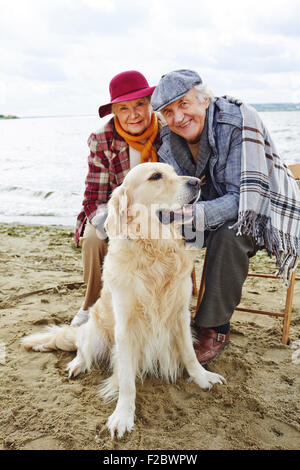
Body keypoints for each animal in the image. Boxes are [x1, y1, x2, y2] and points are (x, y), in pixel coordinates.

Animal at [22, 163, 225, 438]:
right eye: (156, 176)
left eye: (174, 171)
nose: (197, 182)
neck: (155, 250)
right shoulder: (126, 327)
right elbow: (127, 380)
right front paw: (123, 415)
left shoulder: (180, 315)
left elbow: (190, 355)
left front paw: (203, 378)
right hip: (96, 331)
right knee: (82, 348)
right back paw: (77, 364)